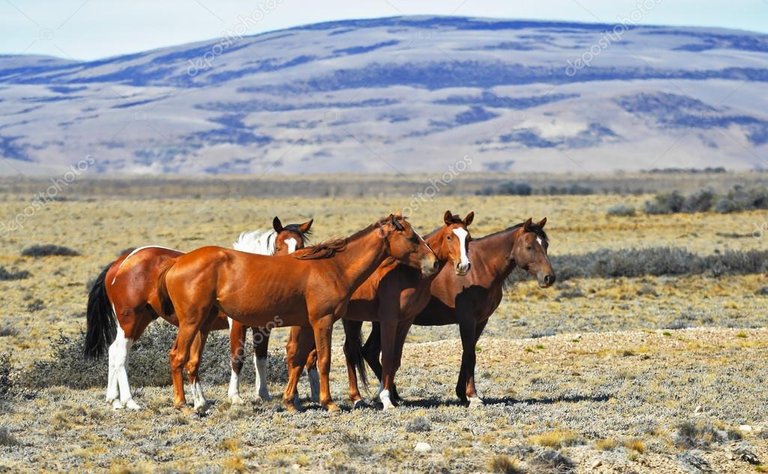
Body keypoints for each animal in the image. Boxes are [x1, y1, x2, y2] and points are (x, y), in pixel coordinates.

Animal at [85, 217, 312, 410]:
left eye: (300, 245)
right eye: (279, 246)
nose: (294, 266)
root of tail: (121, 263)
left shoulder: (262, 327)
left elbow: (261, 359)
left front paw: (263, 393)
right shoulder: (237, 325)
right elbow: (237, 358)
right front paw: (235, 396)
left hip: (140, 320)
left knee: (115, 351)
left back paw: (114, 400)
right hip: (130, 319)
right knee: (121, 353)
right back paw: (129, 401)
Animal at [160, 215, 438, 412]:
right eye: (412, 237)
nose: (434, 262)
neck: (333, 267)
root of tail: (177, 262)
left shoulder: (304, 325)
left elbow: (297, 359)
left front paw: (290, 402)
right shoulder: (322, 322)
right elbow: (324, 360)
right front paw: (328, 403)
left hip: (203, 324)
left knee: (191, 361)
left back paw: (200, 402)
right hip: (192, 322)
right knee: (177, 356)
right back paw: (182, 404)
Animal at [284, 209, 474, 410]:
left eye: (468, 238)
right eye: (449, 237)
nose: (463, 266)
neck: (407, 274)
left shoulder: (406, 321)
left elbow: (396, 358)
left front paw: (390, 396)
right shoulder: (388, 320)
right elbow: (387, 357)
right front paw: (385, 398)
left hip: (351, 319)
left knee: (347, 351)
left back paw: (356, 397)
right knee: (294, 350)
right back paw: (295, 399)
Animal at [358, 218, 552, 408]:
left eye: (546, 245)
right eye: (529, 247)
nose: (549, 277)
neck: (482, 267)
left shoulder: (481, 321)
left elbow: (467, 354)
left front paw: (462, 394)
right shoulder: (467, 320)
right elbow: (470, 355)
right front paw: (473, 396)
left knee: (370, 351)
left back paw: (393, 394)